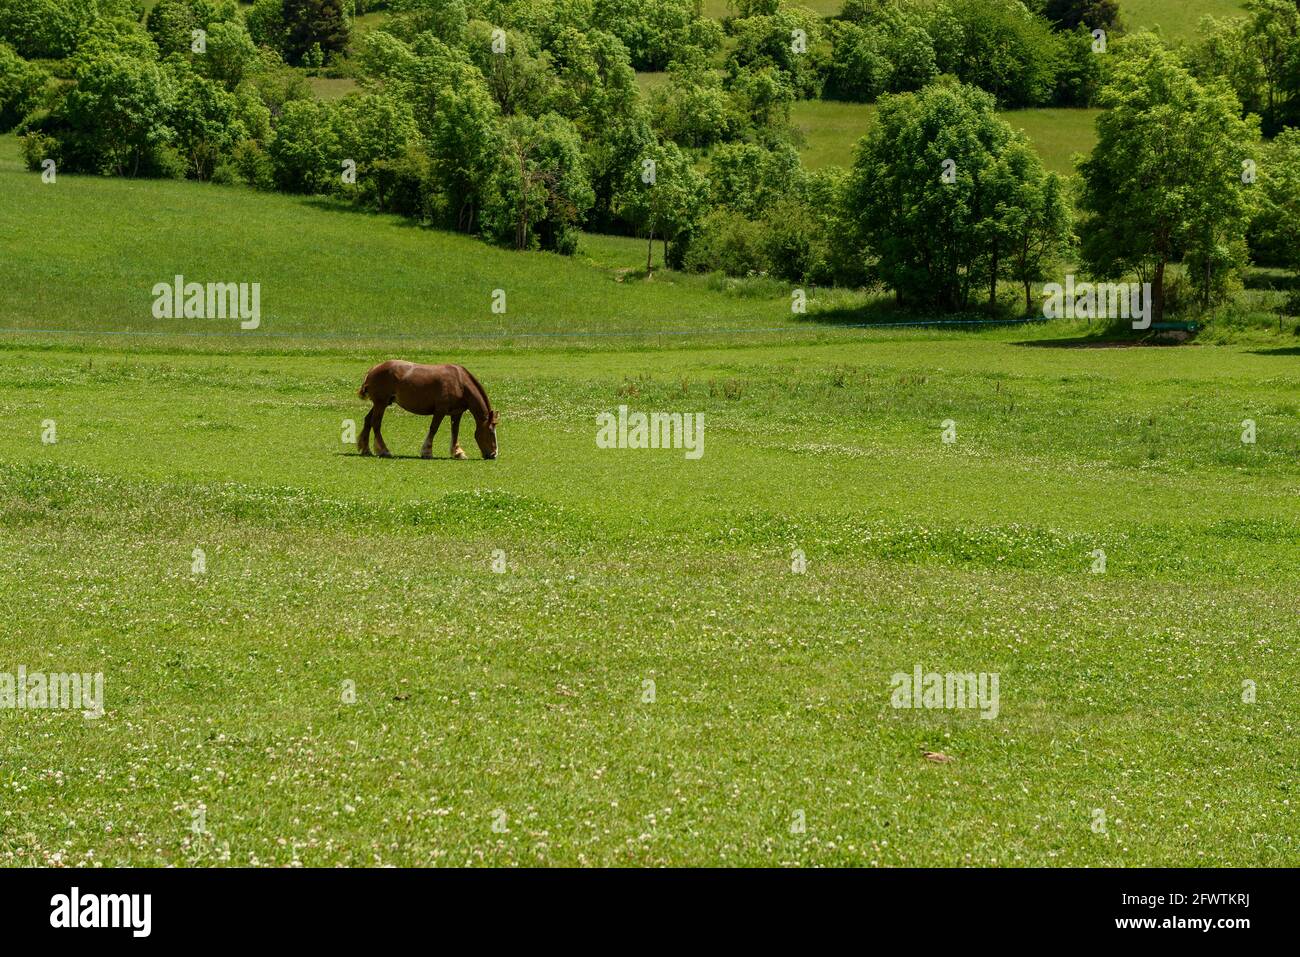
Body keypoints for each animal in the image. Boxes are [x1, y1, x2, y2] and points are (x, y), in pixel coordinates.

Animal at [356, 361, 496, 460]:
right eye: (490, 431)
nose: (494, 454)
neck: (460, 382)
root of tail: (374, 369)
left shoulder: (457, 413)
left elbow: (455, 431)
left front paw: (457, 453)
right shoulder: (440, 411)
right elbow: (433, 429)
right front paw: (427, 451)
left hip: (381, 404)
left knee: (368, 421)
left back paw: (366, 450)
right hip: (381, 403)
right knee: (376, 423)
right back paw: (384, 450)